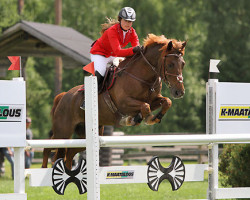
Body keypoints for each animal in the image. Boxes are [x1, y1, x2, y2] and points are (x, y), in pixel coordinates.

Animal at [42, 34, 187, 169]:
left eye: (183, 64)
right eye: (170, 64)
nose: (179, 92)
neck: (143, 77)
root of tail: (63, 96)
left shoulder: (153, 100)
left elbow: (166, 102)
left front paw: (153, 117)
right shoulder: (124, 103)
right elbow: (145, 106)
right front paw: (145, 119)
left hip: (85, 132)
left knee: (70, 152)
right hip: (63, 132)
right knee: (49, 148)